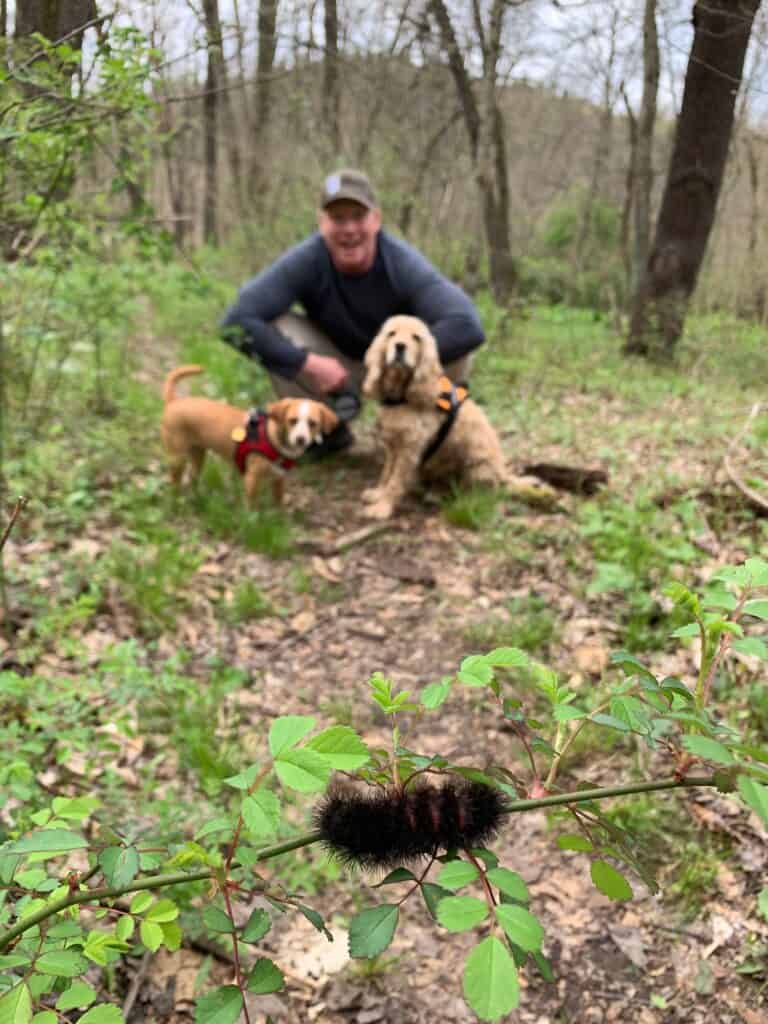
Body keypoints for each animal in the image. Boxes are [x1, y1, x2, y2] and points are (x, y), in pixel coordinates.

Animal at [160, 364, 337, 503]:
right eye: (292, 421)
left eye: (313, 423)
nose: (301, 439)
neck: (275, 442)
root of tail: (174, 401)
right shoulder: (252, 480)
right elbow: (252, 510)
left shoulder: (278, 480)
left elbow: (278, 505)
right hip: (177, 458)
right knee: (175, 482)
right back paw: (177, 500)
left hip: (197, 455)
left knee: (192, 477)